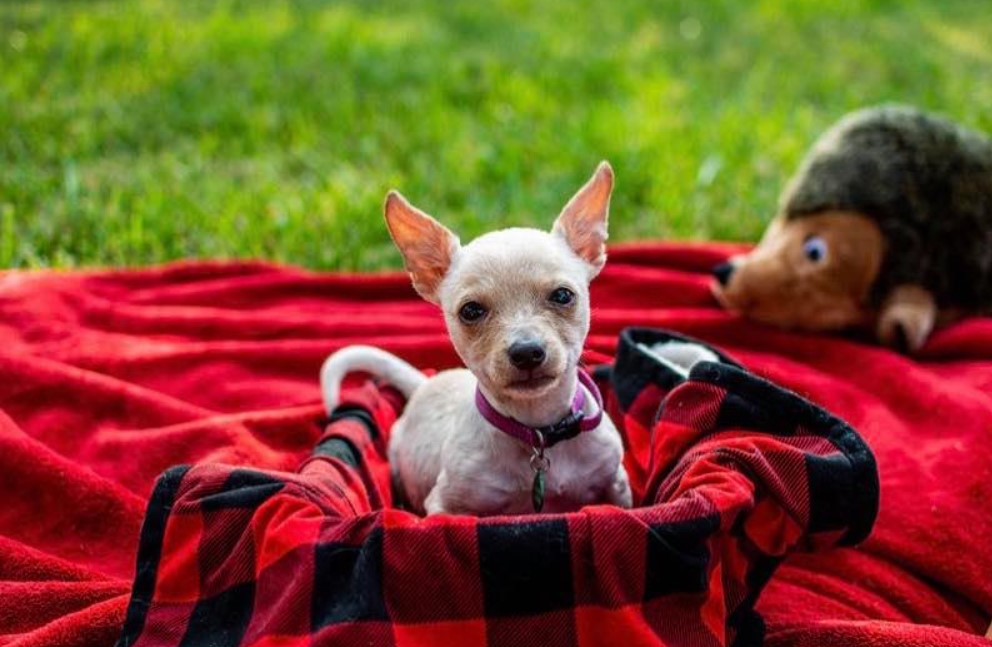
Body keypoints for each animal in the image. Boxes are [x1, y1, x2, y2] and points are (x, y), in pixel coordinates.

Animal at [322, 163, 632, 516]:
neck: (537, 430)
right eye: (471, 311)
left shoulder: (617, 484)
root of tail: (424, 383)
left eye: (563, 295)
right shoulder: (444, 506)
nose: (527, 352)